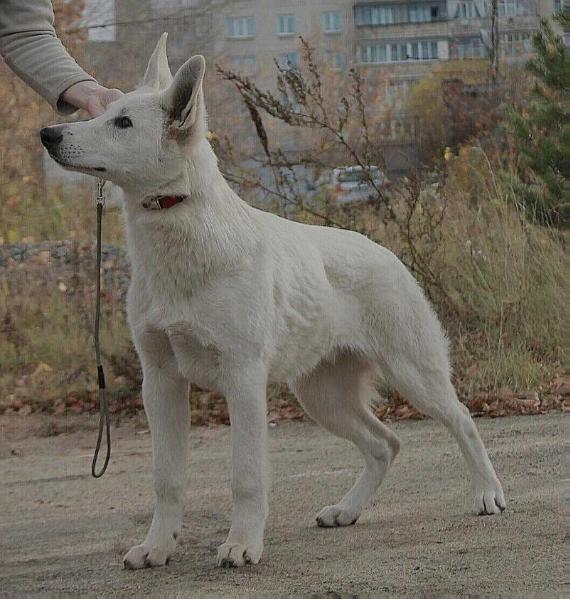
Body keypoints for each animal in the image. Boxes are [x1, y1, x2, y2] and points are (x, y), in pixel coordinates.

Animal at [40, 35, 504, 568]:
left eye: (123, 123)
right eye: (104, 113)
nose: (48, 134)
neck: (183, 242)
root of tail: (385, 251)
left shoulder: (242, 382)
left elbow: (245, 478)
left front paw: (242, 545)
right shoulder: (160, 384)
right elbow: (167, 480)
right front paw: (158, 548)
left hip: (414, 377)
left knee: (462, 420)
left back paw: (488, 495)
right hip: (322, 398)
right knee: (385, 444)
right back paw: (346, 511)